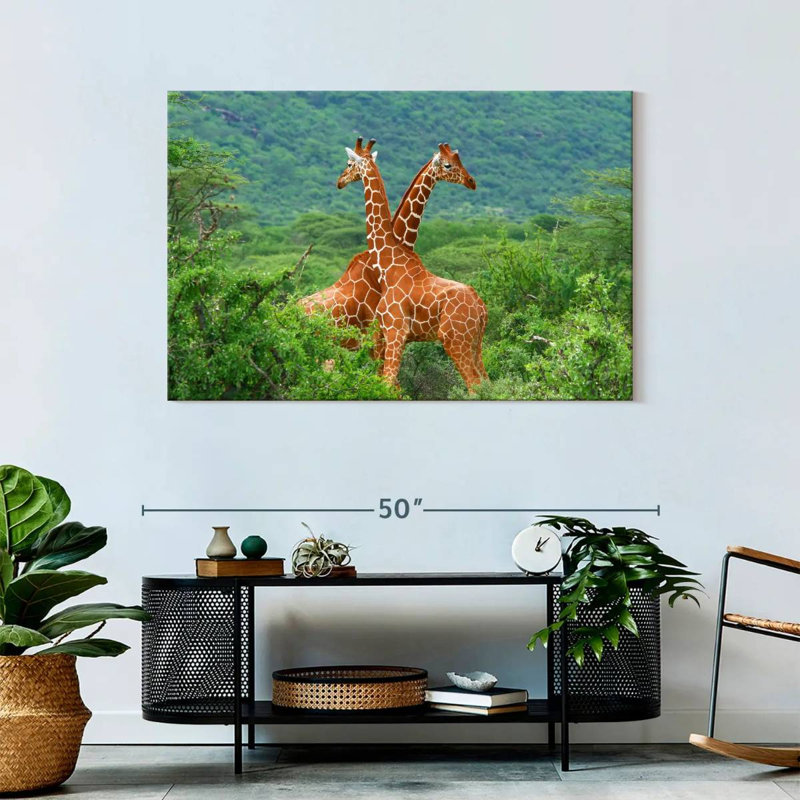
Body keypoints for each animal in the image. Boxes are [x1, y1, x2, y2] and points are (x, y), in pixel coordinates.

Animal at [337, 138, 488, 389]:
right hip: (475, 344)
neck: (388, 262)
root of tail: (482, 309)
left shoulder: (394, 331)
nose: (340, 181)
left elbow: (388, 384)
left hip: (455, 340)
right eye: (449, 164)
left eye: (349, 163)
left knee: (475, 385)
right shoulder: (387, 335)